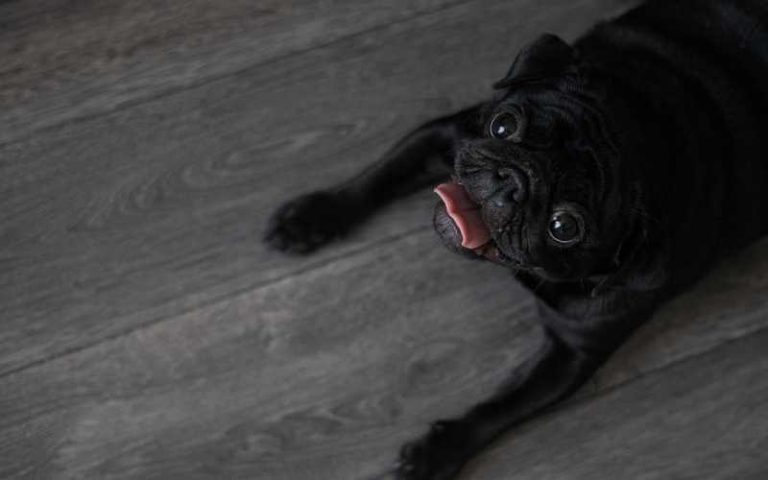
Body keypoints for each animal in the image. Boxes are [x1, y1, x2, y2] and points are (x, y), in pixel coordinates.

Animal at [262, 0, 760, 480]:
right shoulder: (446, 137)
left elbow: (498, 410)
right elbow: (378, 177)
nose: (515, 182)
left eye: (565, 227)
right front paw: (314, 216)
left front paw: (437, 451)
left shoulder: (572, 352)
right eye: (503, 126)